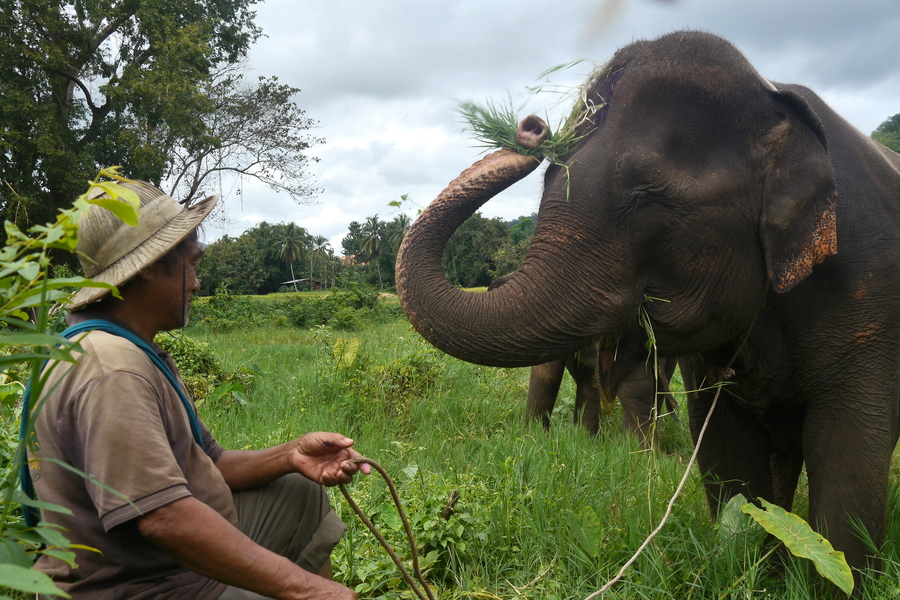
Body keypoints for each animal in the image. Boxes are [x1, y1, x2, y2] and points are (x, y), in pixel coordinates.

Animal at [400, 30, 900, 584]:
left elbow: (849, 458)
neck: (773, 95)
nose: (531, 128)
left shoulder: (870, 291)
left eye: (644, 195)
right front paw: (754, 575)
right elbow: (726, 457)